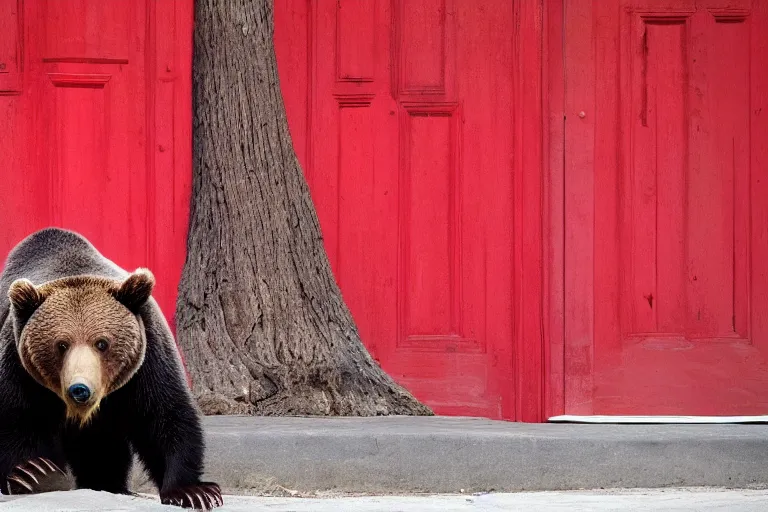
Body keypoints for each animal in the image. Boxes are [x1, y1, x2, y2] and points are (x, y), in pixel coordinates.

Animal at [0, 228, 222, 508]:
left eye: (102, 343)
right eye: (61, 344)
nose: (80, 389)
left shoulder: (148, 356)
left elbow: (163, 413)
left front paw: (193, 491)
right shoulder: (18, 363)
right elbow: (19, 416)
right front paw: (35, 473)